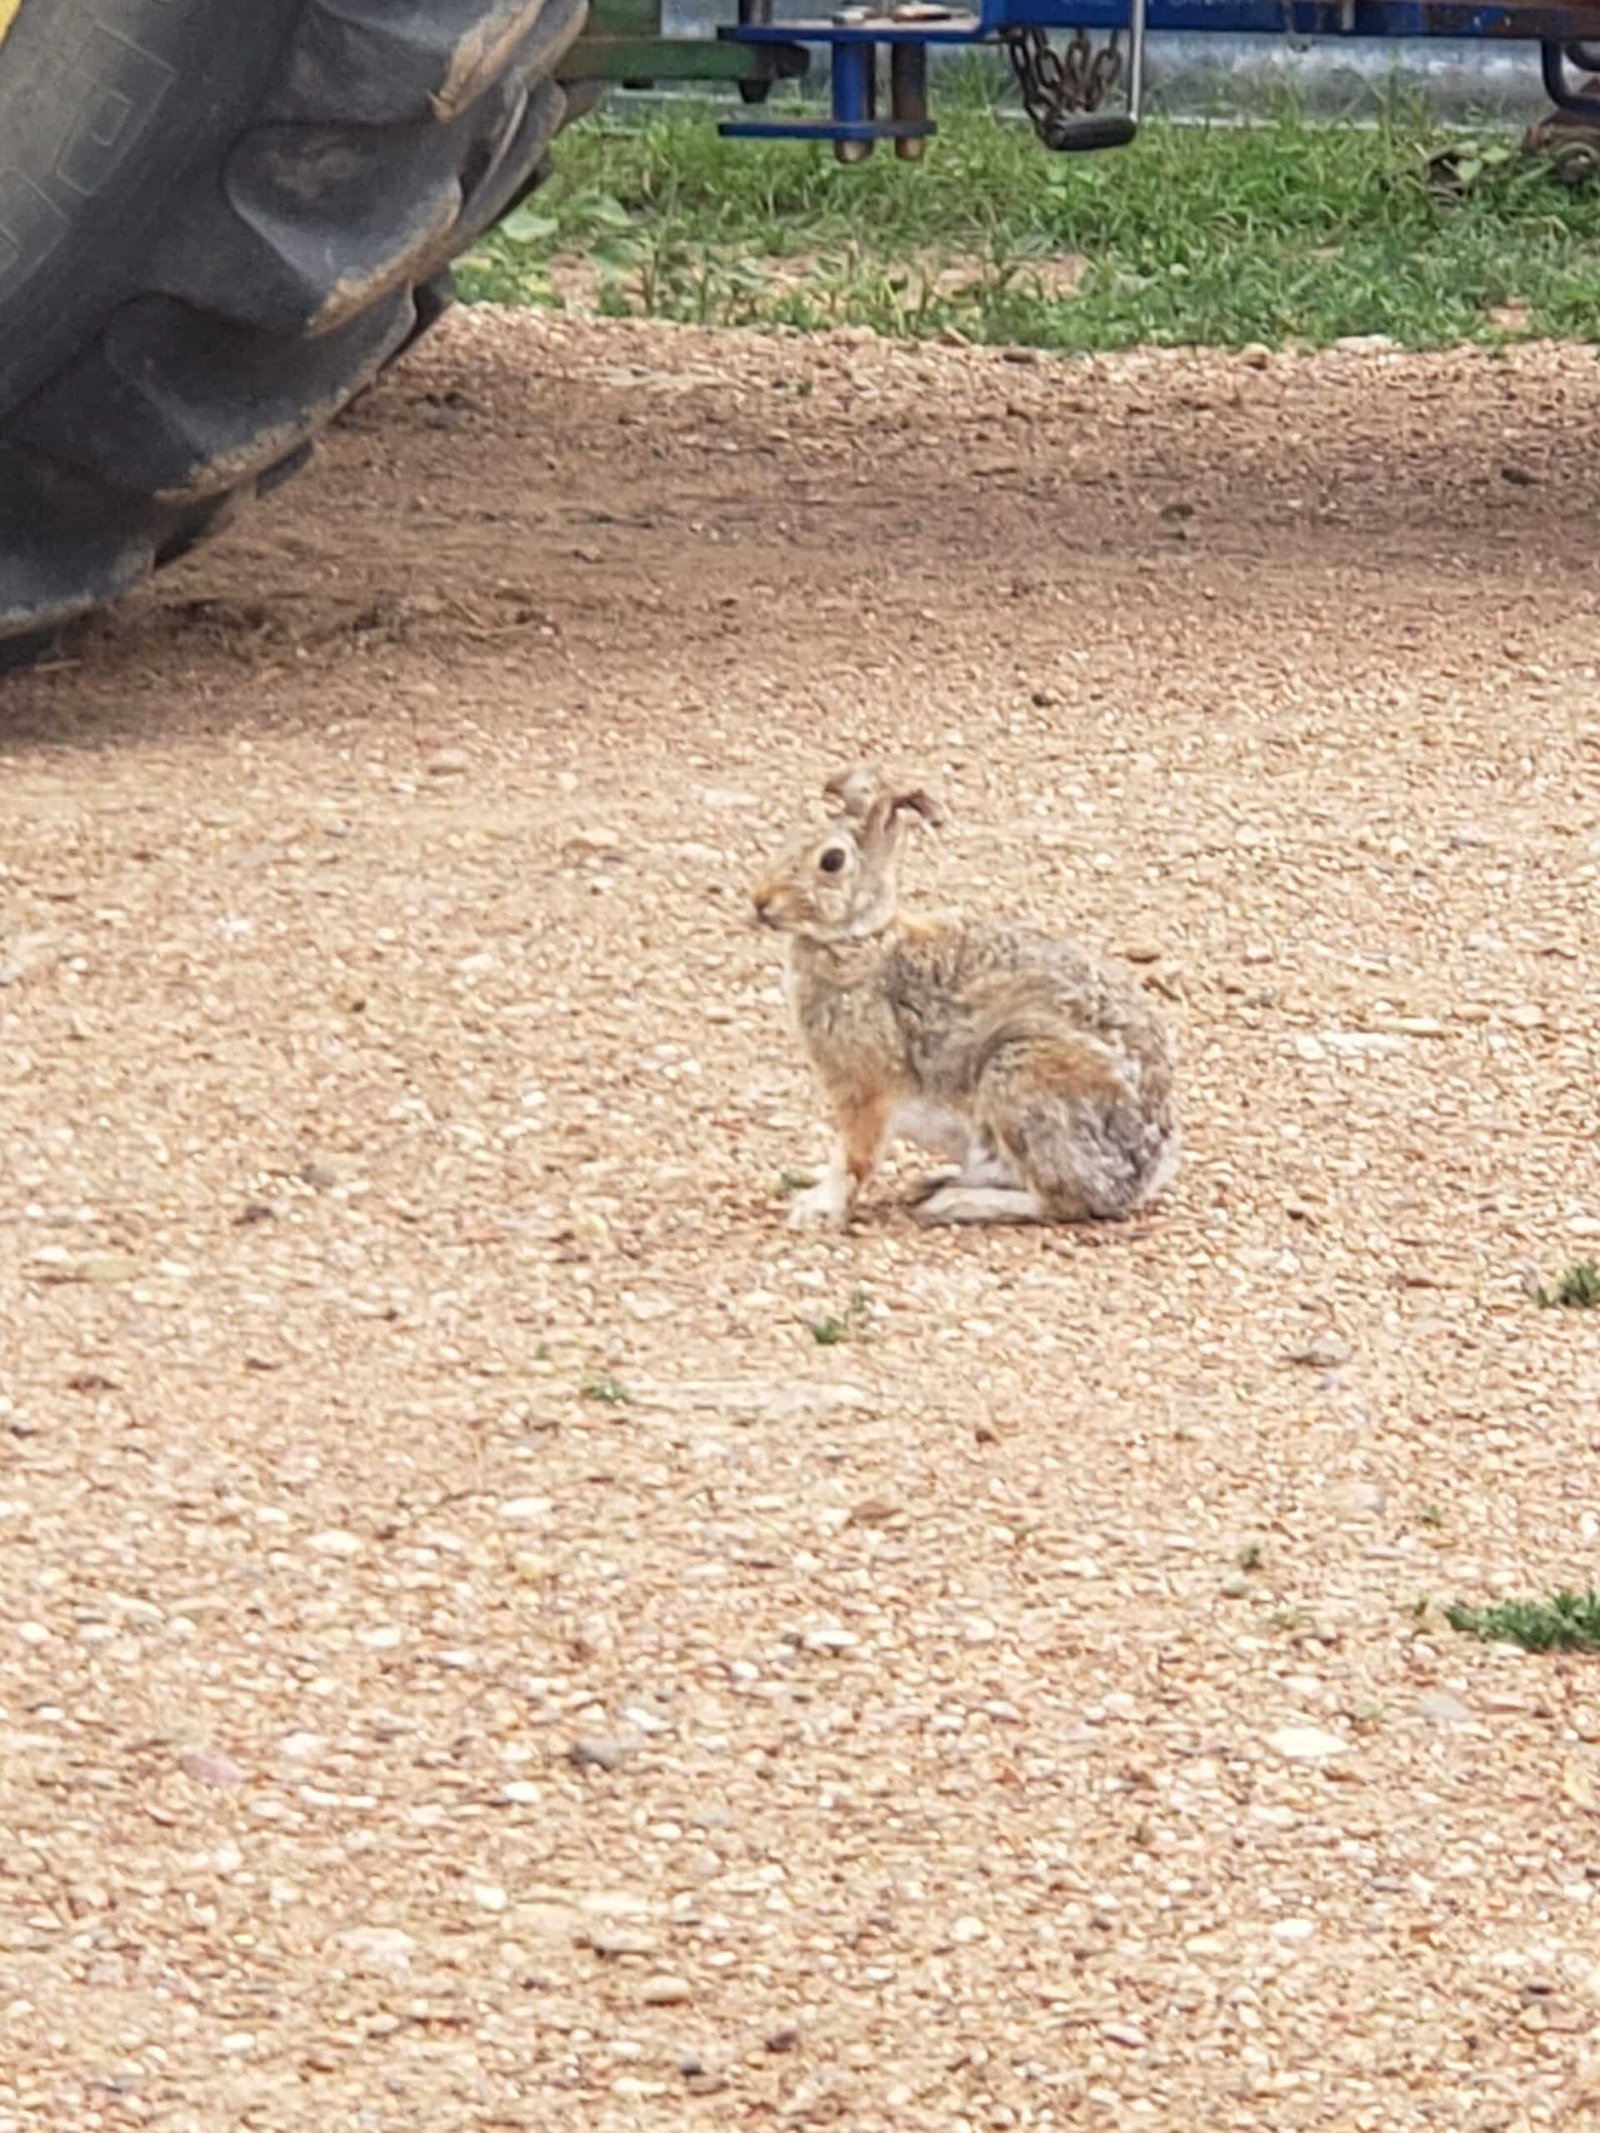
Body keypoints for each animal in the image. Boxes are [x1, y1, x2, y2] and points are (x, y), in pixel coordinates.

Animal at [750, 772, 1177, 1237]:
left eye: (831, 861)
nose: (760, 901)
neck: (862, 938)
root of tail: (1148, 1170)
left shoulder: (866, 1088)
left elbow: (853, 1157)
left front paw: (817, 1210)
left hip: (1023, 1072)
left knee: (1066, 1201)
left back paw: (950, 1203)